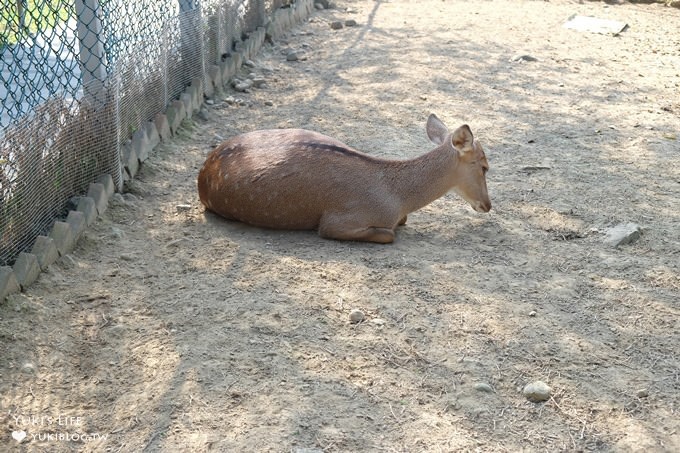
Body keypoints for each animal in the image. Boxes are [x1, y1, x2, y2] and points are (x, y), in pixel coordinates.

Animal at [197, 114, 488, 244]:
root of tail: (203, 173)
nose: (487, 205)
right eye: (485, 166)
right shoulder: (336, 222)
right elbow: (388, 235)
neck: (398, 198)